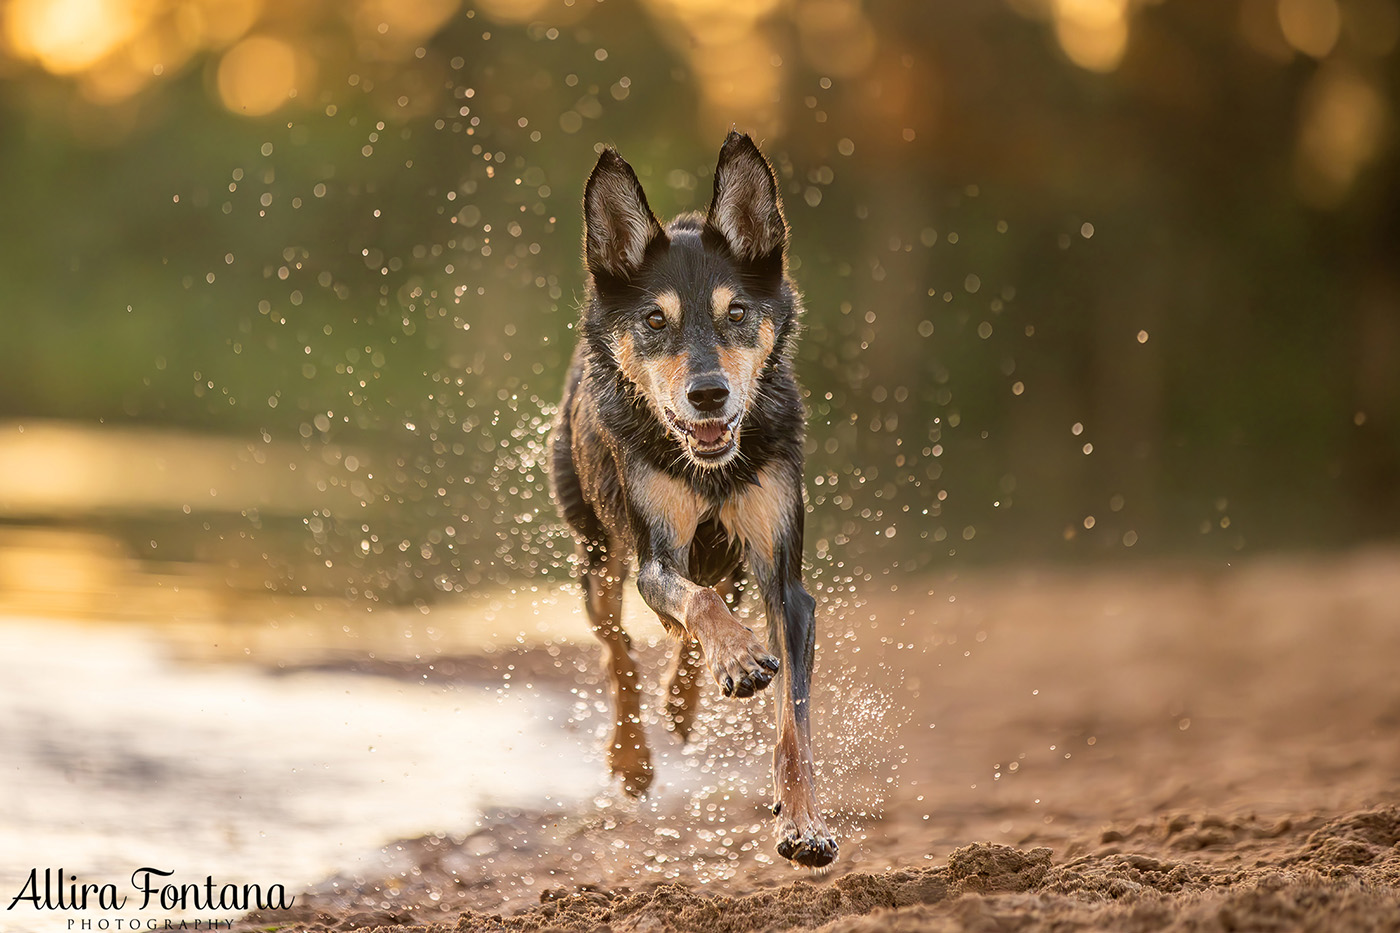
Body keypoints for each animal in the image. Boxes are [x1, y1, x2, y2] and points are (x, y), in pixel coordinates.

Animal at [551, 130, 834, 862]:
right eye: (655, 319)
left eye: (736, 312)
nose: (710, 395)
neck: (712, 471)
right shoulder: (657, 555)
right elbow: (691, 604)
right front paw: (736, 657)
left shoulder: (785, 581)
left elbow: (793, 723)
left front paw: (804, 823)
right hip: (597, 554)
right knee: (617, 644)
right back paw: (634, 755)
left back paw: (687, 697)